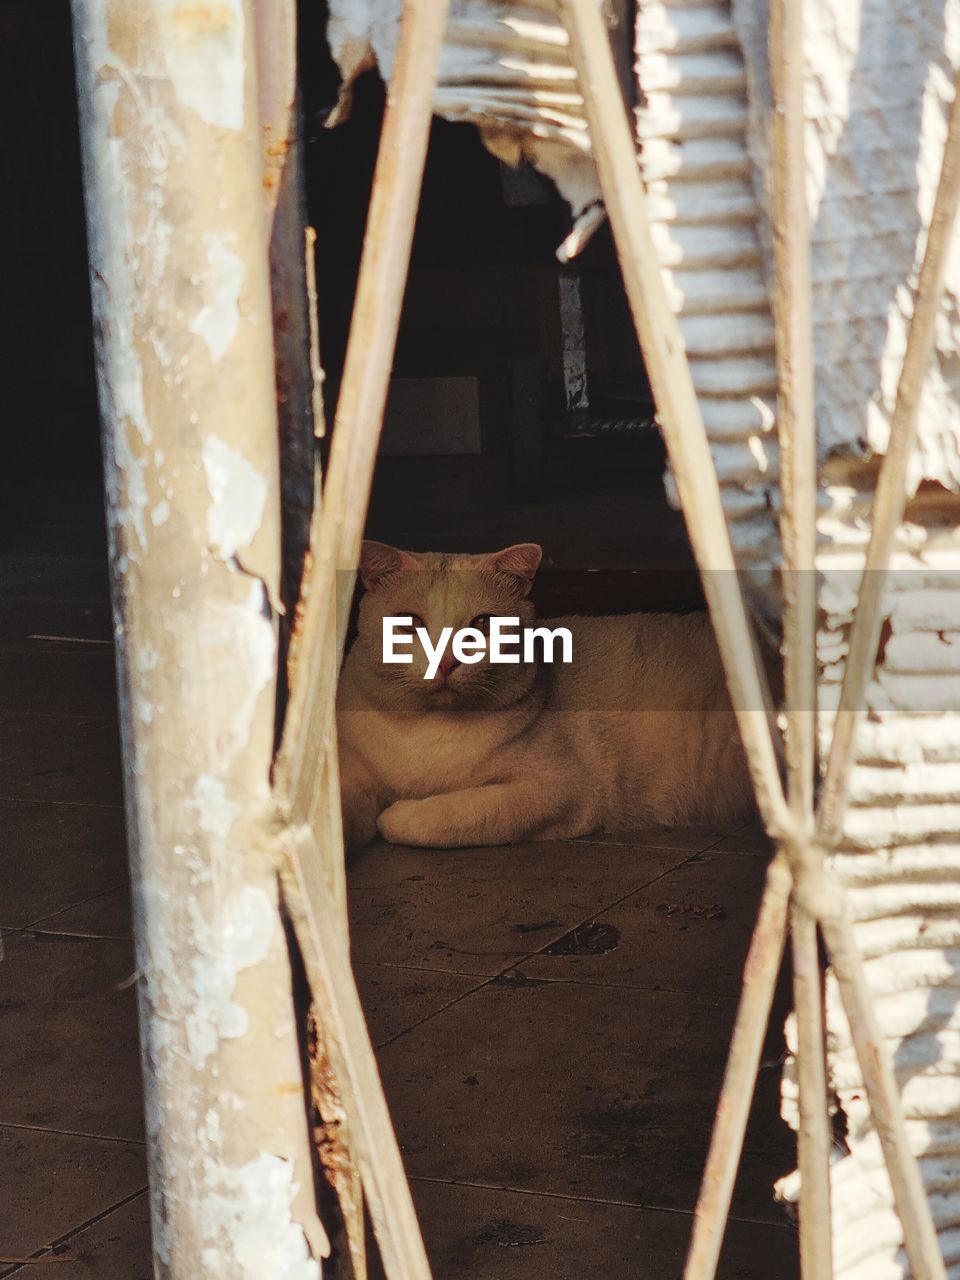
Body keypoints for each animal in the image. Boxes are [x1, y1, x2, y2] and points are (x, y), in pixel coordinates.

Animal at [337, 540, 757, 849]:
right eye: (409, 624)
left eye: (482, 623)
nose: (445, 662)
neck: (429, 731)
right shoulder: (351, 778)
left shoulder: (557, 793)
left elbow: (446, 816)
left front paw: (396, 815)